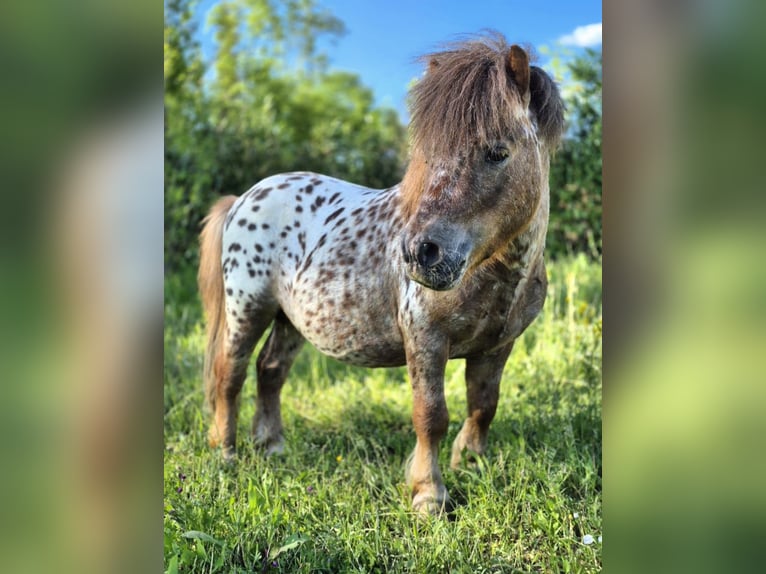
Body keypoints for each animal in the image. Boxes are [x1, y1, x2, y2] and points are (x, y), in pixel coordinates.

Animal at [198, 34, 565, 514]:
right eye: (427, 155)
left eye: (498, 152)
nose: (418, 253)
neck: (498, 275)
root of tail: (245, 198)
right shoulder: (426, 339)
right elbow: (431, 415)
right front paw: (429, 495)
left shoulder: (499, 346)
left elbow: (483, 404)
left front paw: (471, 464)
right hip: (248, 308)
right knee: (230, 373)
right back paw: (226, 453)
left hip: (291, 319)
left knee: (270, 370)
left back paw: (272, 445)